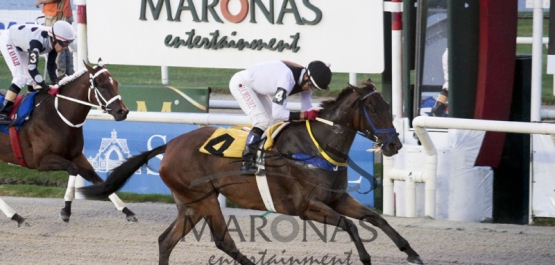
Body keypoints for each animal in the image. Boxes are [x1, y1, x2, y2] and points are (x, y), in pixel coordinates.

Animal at [0, 58, 138, 226]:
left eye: (116, 83)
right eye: (102, 85)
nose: (122, 112)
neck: (56, 116)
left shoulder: (77, 156)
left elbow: (99, 180)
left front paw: (127, 211)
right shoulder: (41, 160)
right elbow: (72, 169)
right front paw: (66, 210)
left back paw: (16, 216)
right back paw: (15, 216)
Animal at [80, 81, 424, 264]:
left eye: (389, 107)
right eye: (375, 109)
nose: (394, 144)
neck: (317, 147)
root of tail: (170, 144)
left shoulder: (337, 198)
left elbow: (376, 219)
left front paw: (411, 252)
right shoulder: (306, 206)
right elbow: (350, 225)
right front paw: (366, 257)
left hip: (190, 204)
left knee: (166, 240)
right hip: (204, 199)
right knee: (224, 242)